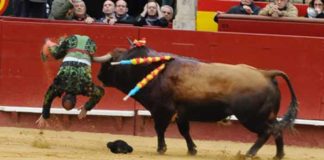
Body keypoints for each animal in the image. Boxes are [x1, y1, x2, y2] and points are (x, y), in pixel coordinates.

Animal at [97, 44, 298, 159]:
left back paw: (250, 153)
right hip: (268, 115)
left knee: (267, 132)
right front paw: (192, 150)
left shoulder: (161, 110)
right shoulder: (181, 114)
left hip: (251, 117)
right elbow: (185, 131)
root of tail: (266, 73)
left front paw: (161, 149)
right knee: (277, 130)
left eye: (108, 64)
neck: (151, 71)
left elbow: (160, 130)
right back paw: (278, 155)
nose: (99, 77)